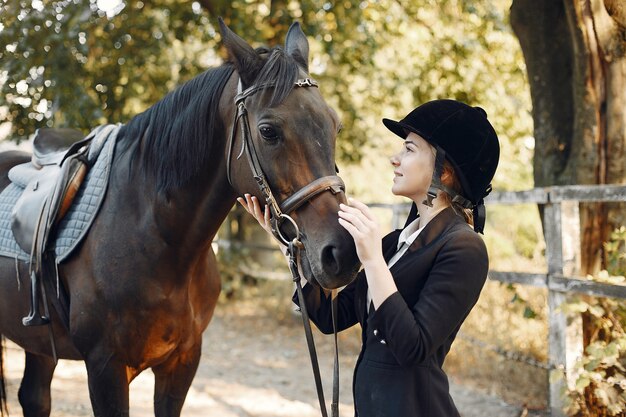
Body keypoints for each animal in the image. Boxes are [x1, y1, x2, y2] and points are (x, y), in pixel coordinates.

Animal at [0, 20, 356, 416]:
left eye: (335, 126)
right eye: (268, 131)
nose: (342, 252)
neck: (158, 240)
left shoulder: (183, 362)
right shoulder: (105, 368)